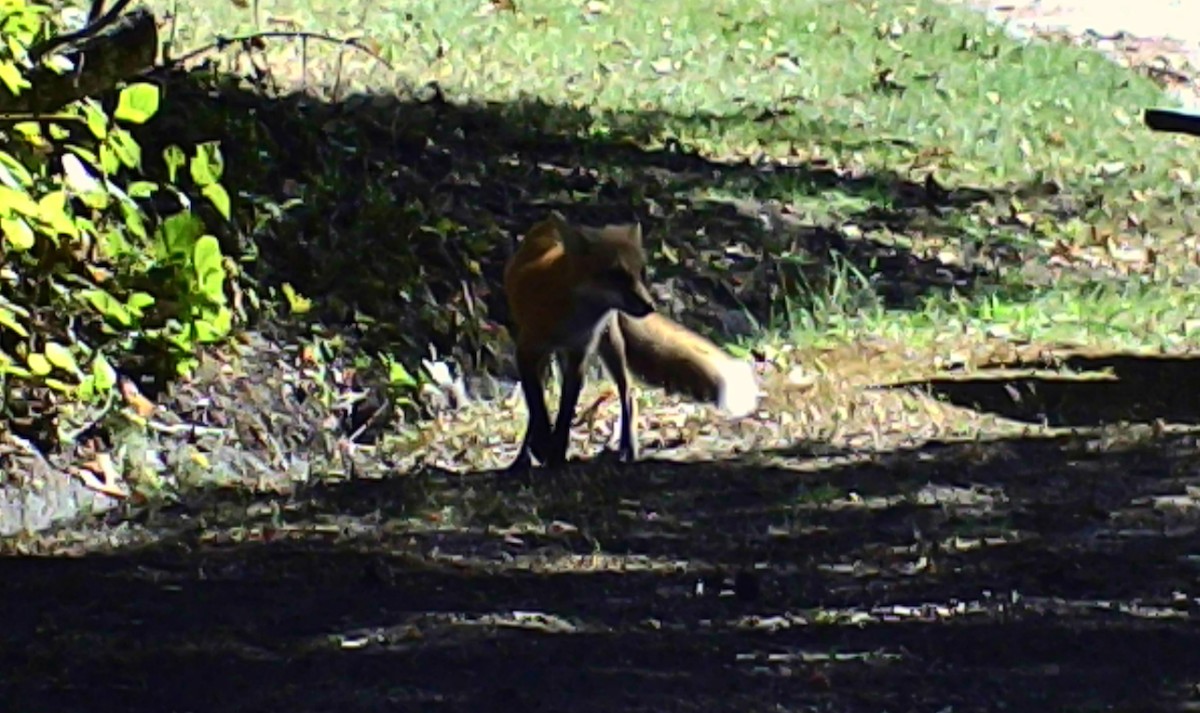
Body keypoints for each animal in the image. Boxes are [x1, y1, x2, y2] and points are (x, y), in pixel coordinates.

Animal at [503, 210, 760, 470]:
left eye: (641, 273)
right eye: (616, 274)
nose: (650, 306)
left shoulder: (578, 355)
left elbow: (565, 414)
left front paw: (556, 453)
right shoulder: (526, 352)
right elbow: (538, 407)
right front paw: (543, 446)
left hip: (611, 345)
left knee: (629, 392)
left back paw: (627, 447)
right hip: (557, 355)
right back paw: (523, 457)